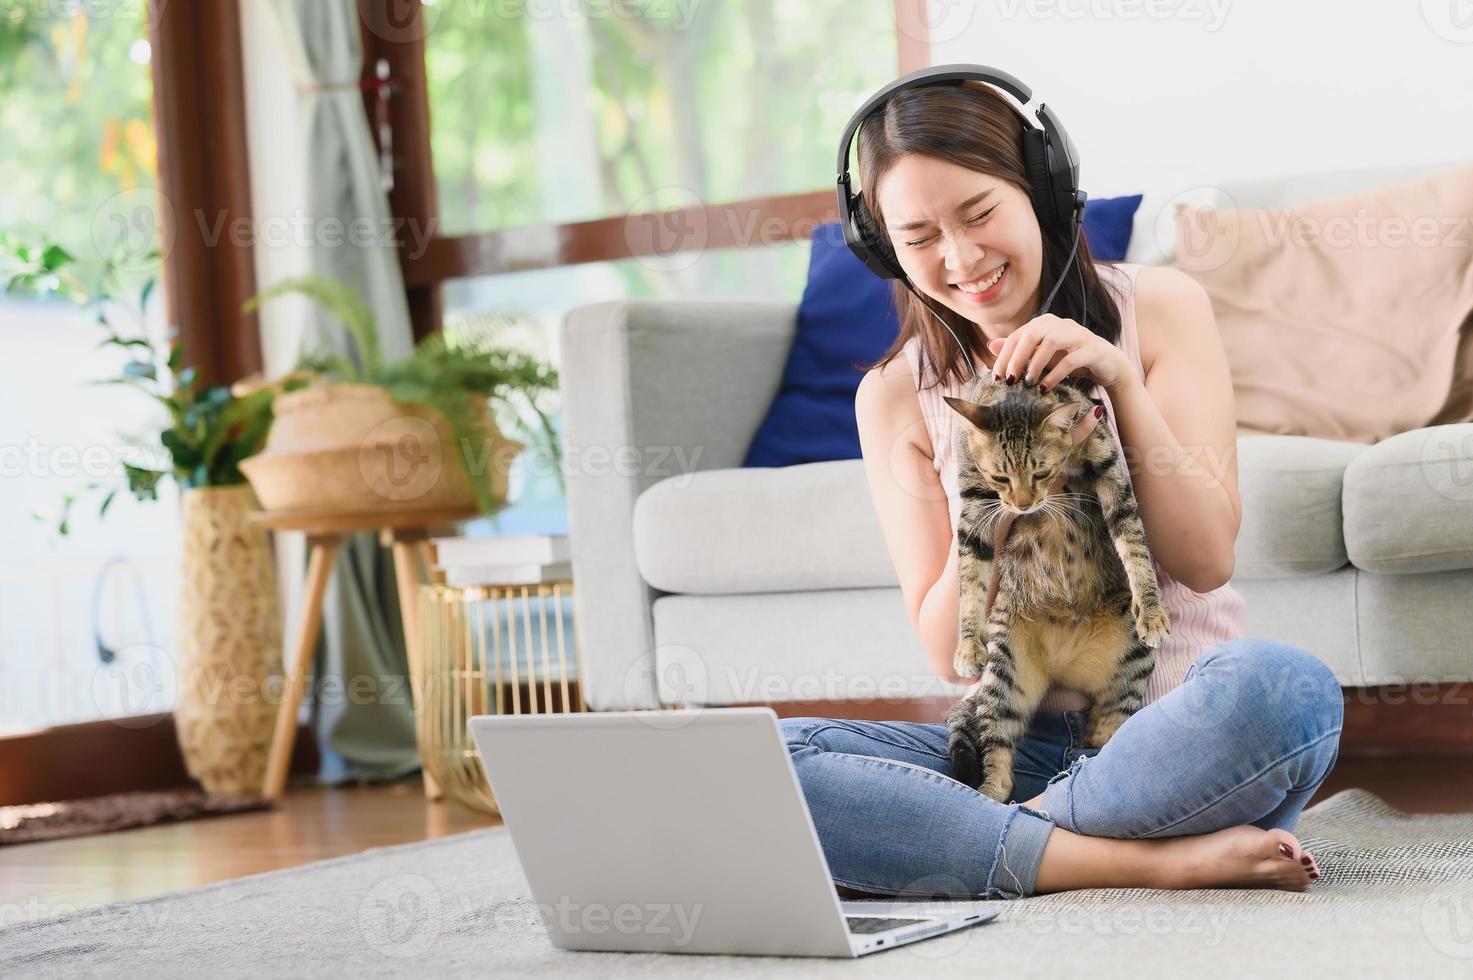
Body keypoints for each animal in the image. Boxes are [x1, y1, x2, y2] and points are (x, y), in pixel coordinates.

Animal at [942, 375, 1172, 801]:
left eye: (1041, 473)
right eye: (1000, 478)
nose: (1022, 505)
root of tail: (1064, 667)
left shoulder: (1109, 468)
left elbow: (1133, 542)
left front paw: (1151, 611)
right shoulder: (975, 505)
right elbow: (968, 579)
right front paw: (967, 646)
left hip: (1131, 658)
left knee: (1109, 728)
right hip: (1006, 670)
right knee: (998, 745)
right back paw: (989, 792)